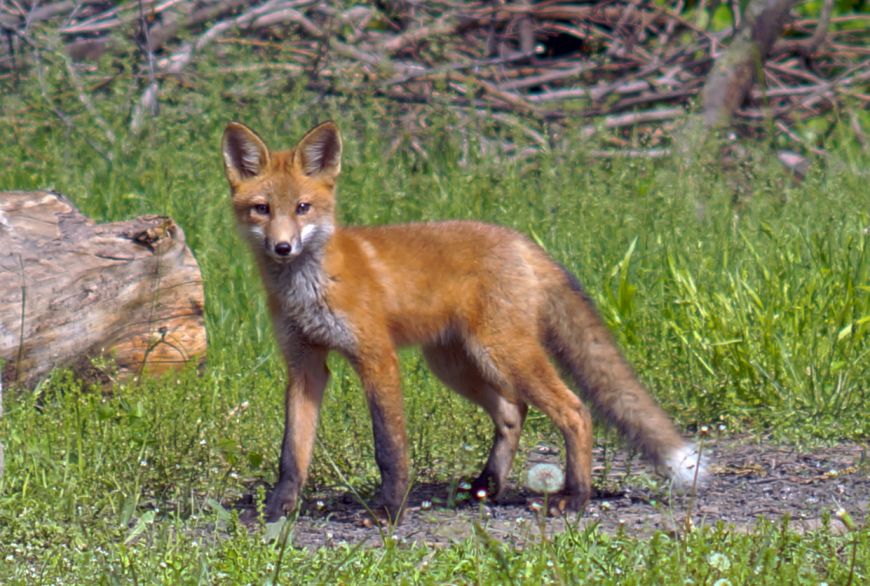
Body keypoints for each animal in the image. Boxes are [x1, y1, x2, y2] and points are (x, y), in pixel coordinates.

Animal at [221, 120, 704, 520]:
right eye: (262, 209)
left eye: (303, 207)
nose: (283, 247)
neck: (310, 286)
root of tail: (522, 241)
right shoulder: (304, 364)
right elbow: (292, 452)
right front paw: (278, 509)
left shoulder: (377, 358)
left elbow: (389, 448)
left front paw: (388, 511)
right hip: (455, 363)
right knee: (513, 411)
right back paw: (486, 486)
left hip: (502, 353)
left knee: (575, 411)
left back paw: (576, 496)